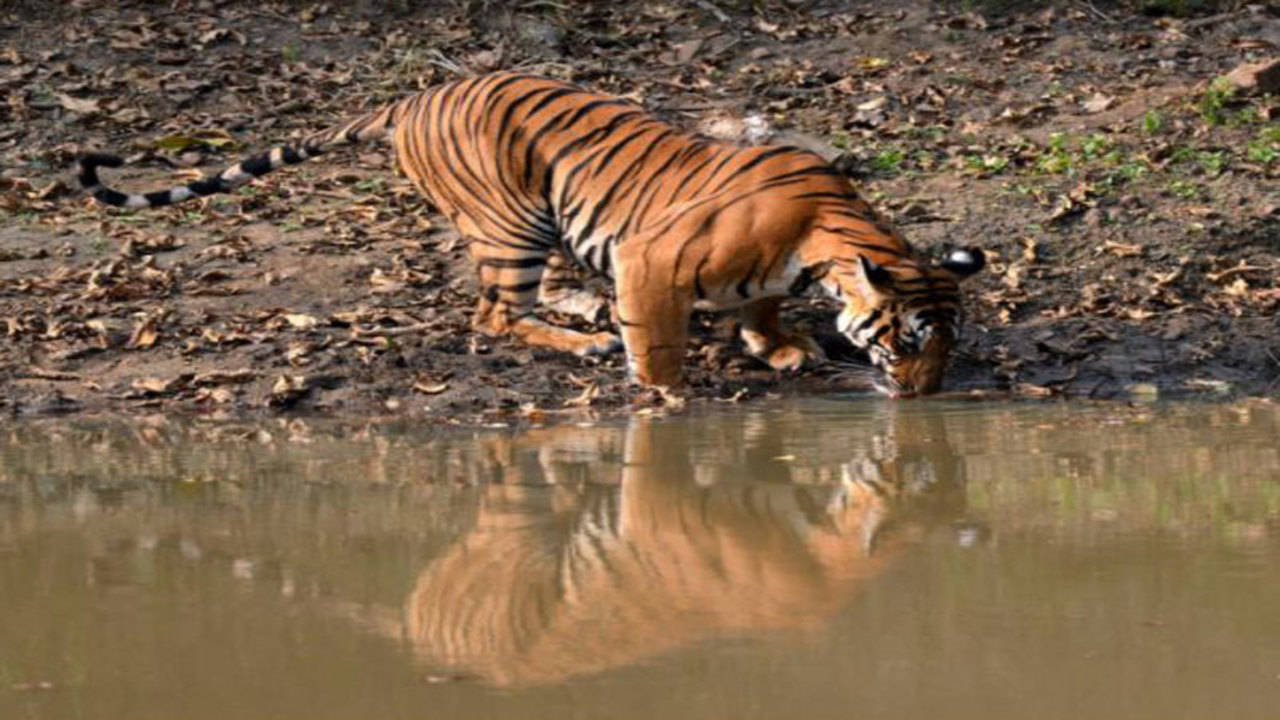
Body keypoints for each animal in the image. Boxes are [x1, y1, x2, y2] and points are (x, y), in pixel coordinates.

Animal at [77, 70, 977, 394]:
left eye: (945, 347)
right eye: (905, 342)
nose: (924, 396)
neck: (825, 245)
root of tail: (411, 97)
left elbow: (759, 307)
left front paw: (779, 345)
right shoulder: (650, 259)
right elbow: (659, 343)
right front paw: (666, 397)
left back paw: (585, 316)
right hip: (512, 222)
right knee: (494, 315)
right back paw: (586, 339)